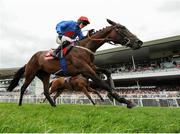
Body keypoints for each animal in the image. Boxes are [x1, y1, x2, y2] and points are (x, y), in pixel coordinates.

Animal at [6, 18, 142, 108]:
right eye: (122, 28)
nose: (139, 42)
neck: (85, 48)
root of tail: (30, 60)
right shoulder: (86, 69)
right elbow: (101, 83)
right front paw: (125, 100)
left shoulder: (91, 67)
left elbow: (107, 72)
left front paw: (111, 94)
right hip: (31, 73)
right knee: (23, 88)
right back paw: (20, 105)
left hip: (45, 75)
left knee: (46, 91)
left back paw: (54, 106)